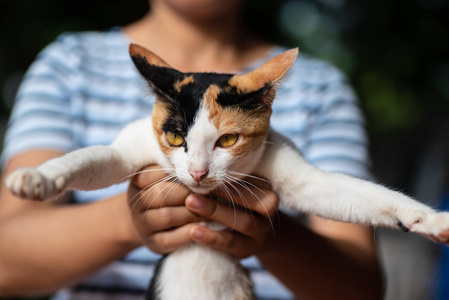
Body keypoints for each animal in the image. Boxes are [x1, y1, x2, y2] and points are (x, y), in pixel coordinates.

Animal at [5, 43, 448, 298]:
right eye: (174, 138)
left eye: (228, 140)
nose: (198, 173)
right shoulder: (133, 147)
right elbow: (94, 160)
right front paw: (37, 178)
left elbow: (351, 194)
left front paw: (427, 219)